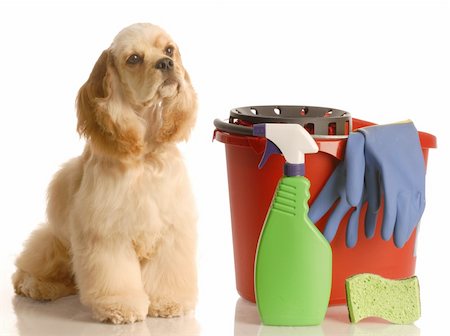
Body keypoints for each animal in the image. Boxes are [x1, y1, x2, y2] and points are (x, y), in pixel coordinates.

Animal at [12, 23, 197, 322]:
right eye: (134, 58)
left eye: (169, 50)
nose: (166, 64)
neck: (144, 154)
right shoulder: (107, 229)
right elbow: (115, 275)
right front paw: (120, 306)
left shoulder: (171, 226)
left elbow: (167, 271)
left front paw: (169, 301)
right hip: (54, 242)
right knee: (24, 269)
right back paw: (36, 286)